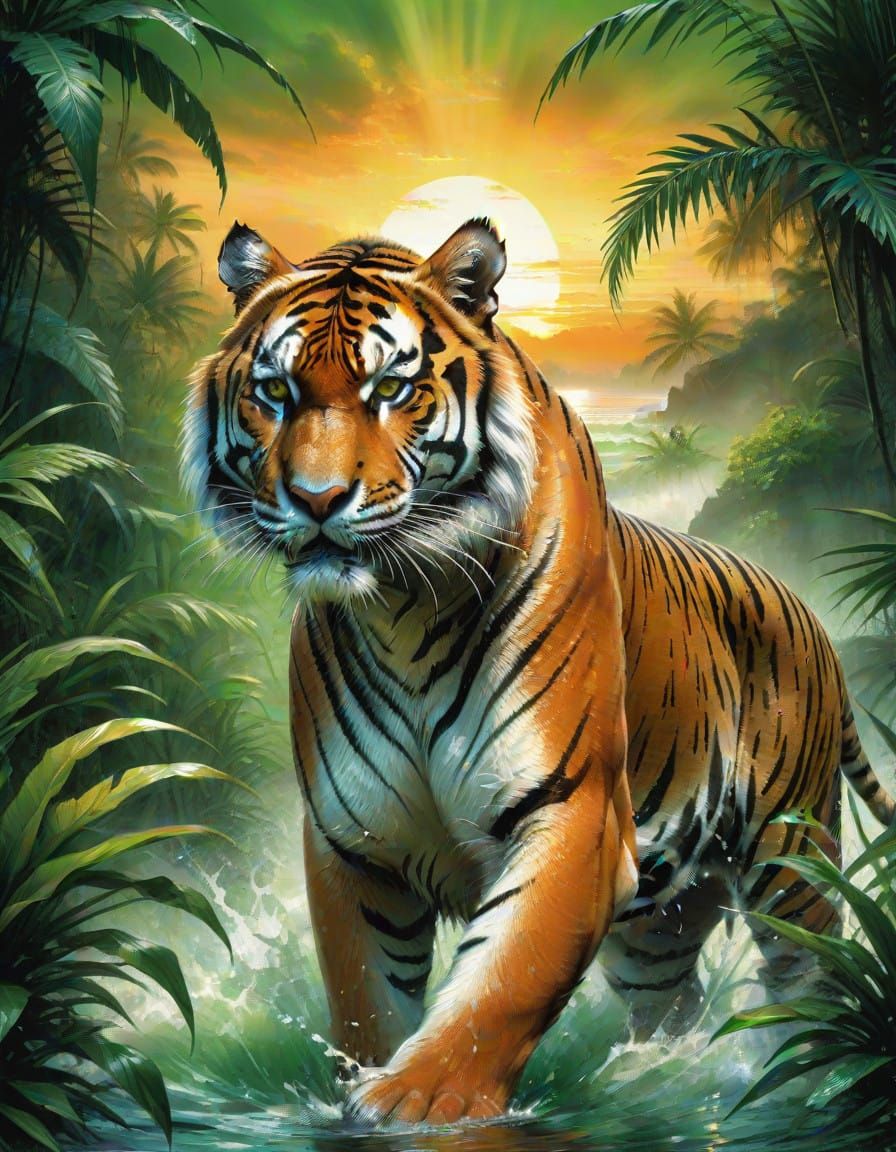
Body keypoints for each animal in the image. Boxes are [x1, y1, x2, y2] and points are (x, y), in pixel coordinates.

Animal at [184, 216, 895, 1127]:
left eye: (391, 389)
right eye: (274, 392)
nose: (315, 500)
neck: (403, 607)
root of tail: (808, 613)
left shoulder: (575, 813)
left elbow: (500, 982)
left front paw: (417, 1100)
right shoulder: (355, 843)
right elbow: (366, 998)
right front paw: (369, 1089)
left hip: (792, 858)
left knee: (807, 974)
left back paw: (800, 1081)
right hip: (658, 927)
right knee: (673, 1004)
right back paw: (655, 1077)